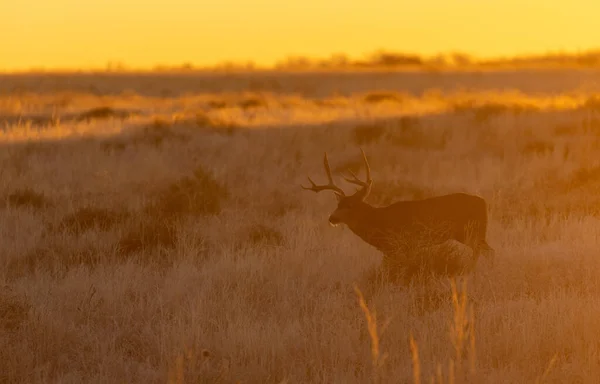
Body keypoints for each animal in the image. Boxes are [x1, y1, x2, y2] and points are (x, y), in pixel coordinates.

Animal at [302, 148, 494, 284]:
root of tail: (483, 202)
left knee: (484, 252)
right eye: (338, 204)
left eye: (350, 206)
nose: (332, 218)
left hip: (470, 231)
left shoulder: (400, 244)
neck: (378, 222)